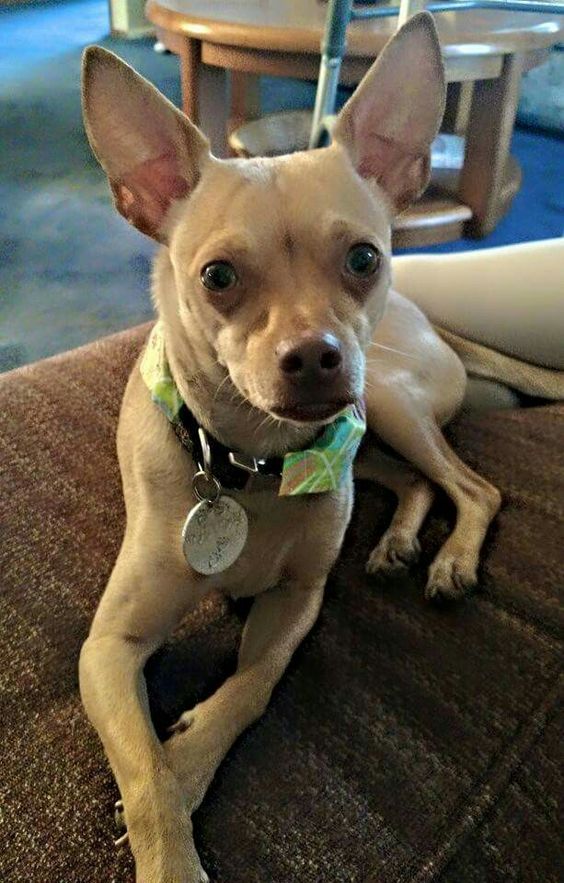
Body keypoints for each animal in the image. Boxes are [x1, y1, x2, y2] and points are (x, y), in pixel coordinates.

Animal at [80, 15, 502, 883]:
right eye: (216, 276)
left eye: (364, 257)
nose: (314, 355)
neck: (245, 466)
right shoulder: (107, 648)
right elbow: (146, 781)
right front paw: (168, 840)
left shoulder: (296, 605)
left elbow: (251, 686)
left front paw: (190, 756)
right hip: (370, 428)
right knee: (413, 483)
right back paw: (400, 540)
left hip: (386, 400)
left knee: (472, 486)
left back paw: (449, 560)